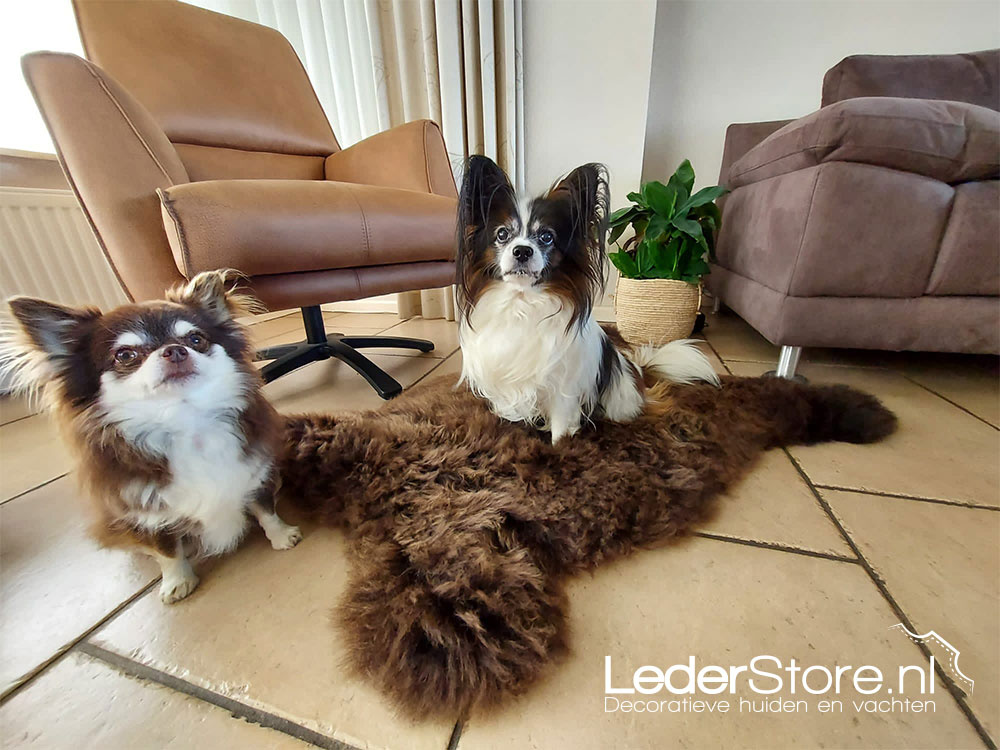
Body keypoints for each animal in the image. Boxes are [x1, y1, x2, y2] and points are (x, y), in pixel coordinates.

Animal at [1, 270, 302, 604]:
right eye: (125, 355)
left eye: (196, 339)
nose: (175, 350)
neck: (185, 422)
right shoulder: (145, 511)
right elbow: (166, 550)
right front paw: (177, 582)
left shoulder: (254, 472)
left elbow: (265, 510)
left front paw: (283, 536)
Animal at [454, 156, 720, 444]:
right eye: (502, 234)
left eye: (546, 237)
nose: (522, 251)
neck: (523, 303)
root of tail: (638, 370)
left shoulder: (564, 387)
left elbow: (560, 426)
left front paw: (560, 447)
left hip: (619, 401)